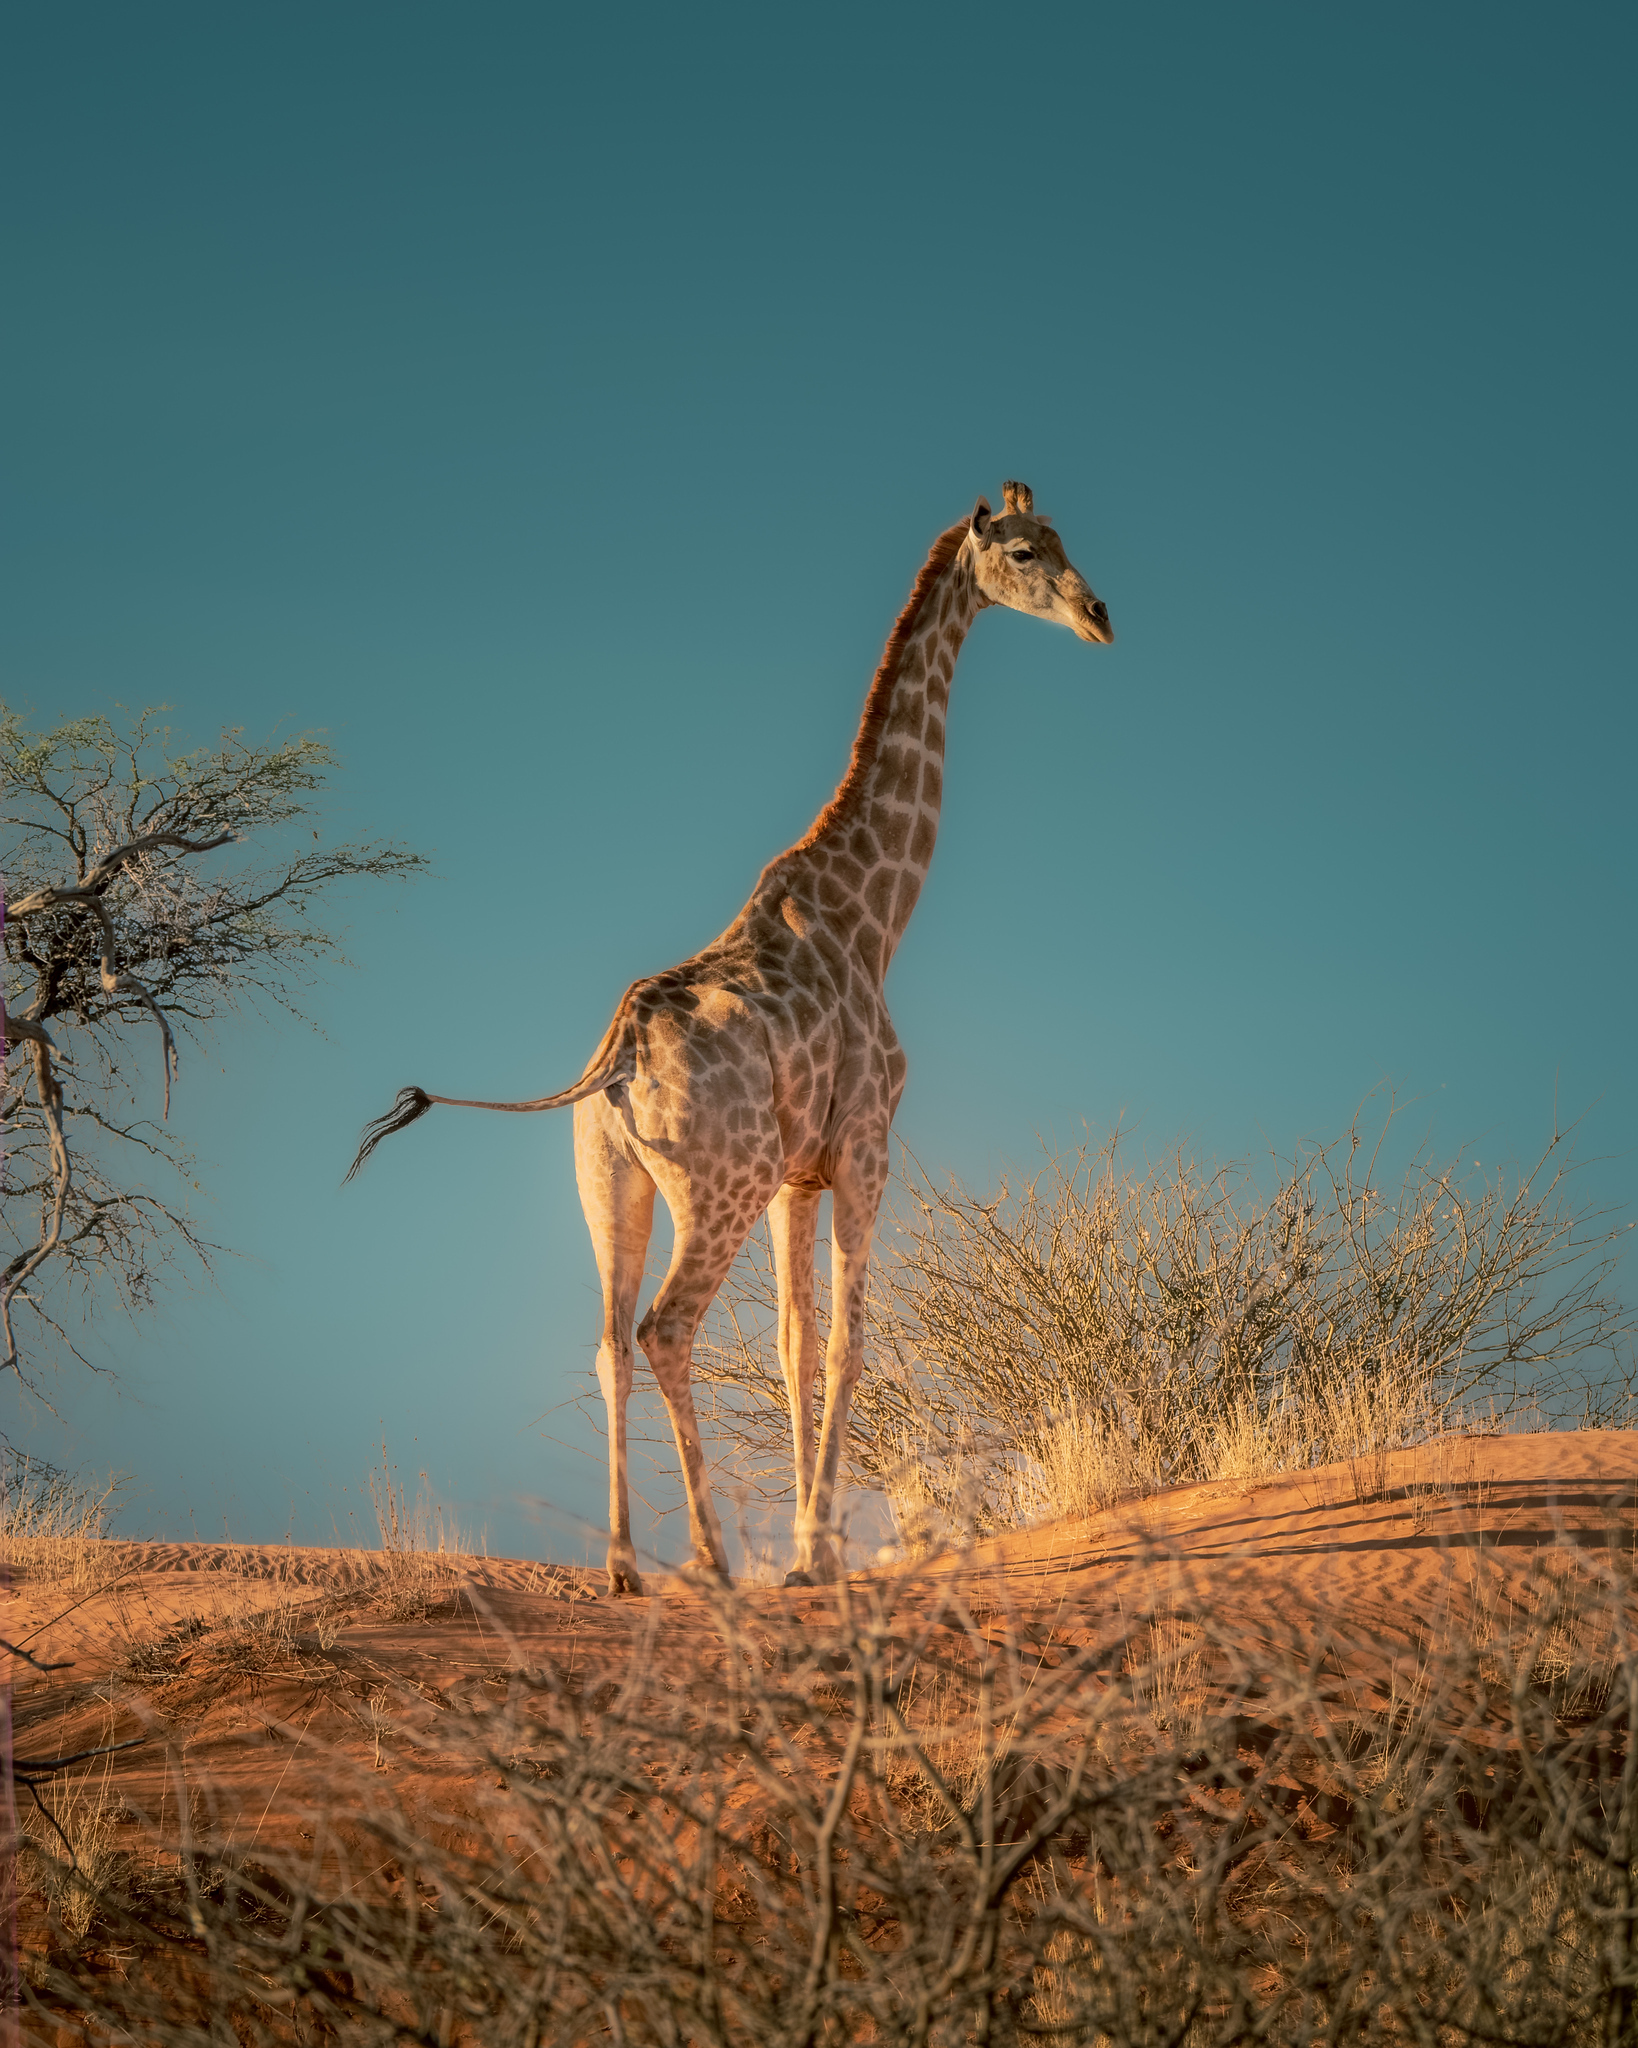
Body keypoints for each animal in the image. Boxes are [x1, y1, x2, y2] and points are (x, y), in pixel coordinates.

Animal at [347, 482, 1113, 1593]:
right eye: (1023, 550)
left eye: (1064, 539)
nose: (1101, 614)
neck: (872, 915)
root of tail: (620, 1055)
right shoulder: (864, 1145)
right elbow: (845, 1339)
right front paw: (812, 1555)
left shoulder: (799, 1170)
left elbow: (796, 1342)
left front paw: (809, 1545)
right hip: (719, 1182)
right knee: (666, 1329)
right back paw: (707, 1558)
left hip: (610, 1183)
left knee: (610, 1341)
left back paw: (625, 1565)